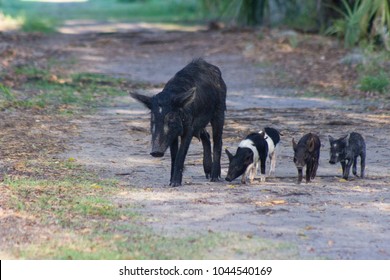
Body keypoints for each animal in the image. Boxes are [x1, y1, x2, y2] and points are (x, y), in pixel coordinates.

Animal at [129, 58, 227, 187]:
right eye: (153, 119)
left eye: (170, 118)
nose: (155, 152)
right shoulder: (175, 134)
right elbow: (173, 155)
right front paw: (171, 182)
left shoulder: (189, 127)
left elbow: (181, 153)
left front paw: (175, 184)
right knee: (206, 135)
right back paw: (207, 174)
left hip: (220, 110)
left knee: (218, 140)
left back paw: (215, 178)